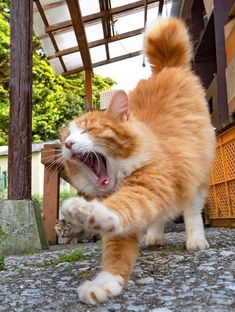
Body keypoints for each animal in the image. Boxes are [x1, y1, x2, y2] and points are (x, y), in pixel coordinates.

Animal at [60, 17, 215, 304]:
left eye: (88, 130)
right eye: (66, 136)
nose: (68, 144)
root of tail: (167, 67)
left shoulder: (148, 185)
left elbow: (120, 209)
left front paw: (82, 211)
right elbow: (116, 254)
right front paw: (105, 283)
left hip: (197, 174)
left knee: (192, 210)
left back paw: (196, 240)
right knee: (159, 217)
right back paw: (154, 236)